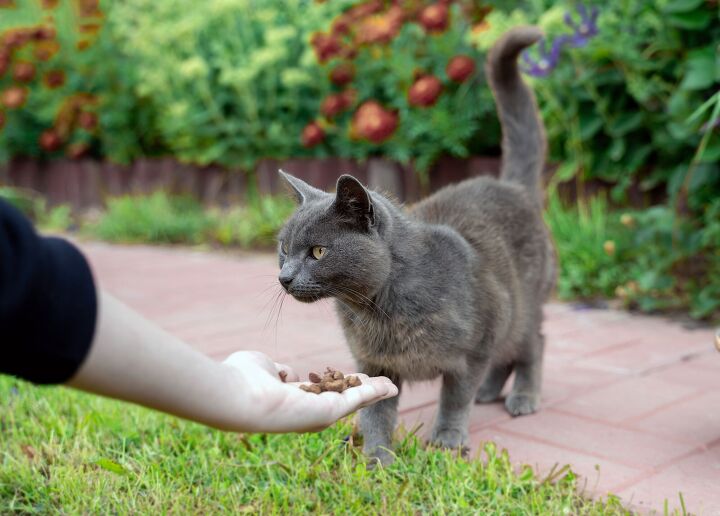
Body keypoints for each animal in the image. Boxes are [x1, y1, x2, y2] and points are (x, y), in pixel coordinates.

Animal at [276, 26, 556, 466]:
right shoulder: (374, 363)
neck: (377, 311)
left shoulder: (477, 342)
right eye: (284, 250)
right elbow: (377, 411)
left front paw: (447, 439)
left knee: (533, 343)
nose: (284, 277)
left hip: (521, 305)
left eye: (318, 252)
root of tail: (510, 186)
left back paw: (522, 396)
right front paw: (377, 458)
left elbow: (455, 397)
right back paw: (490, 391)